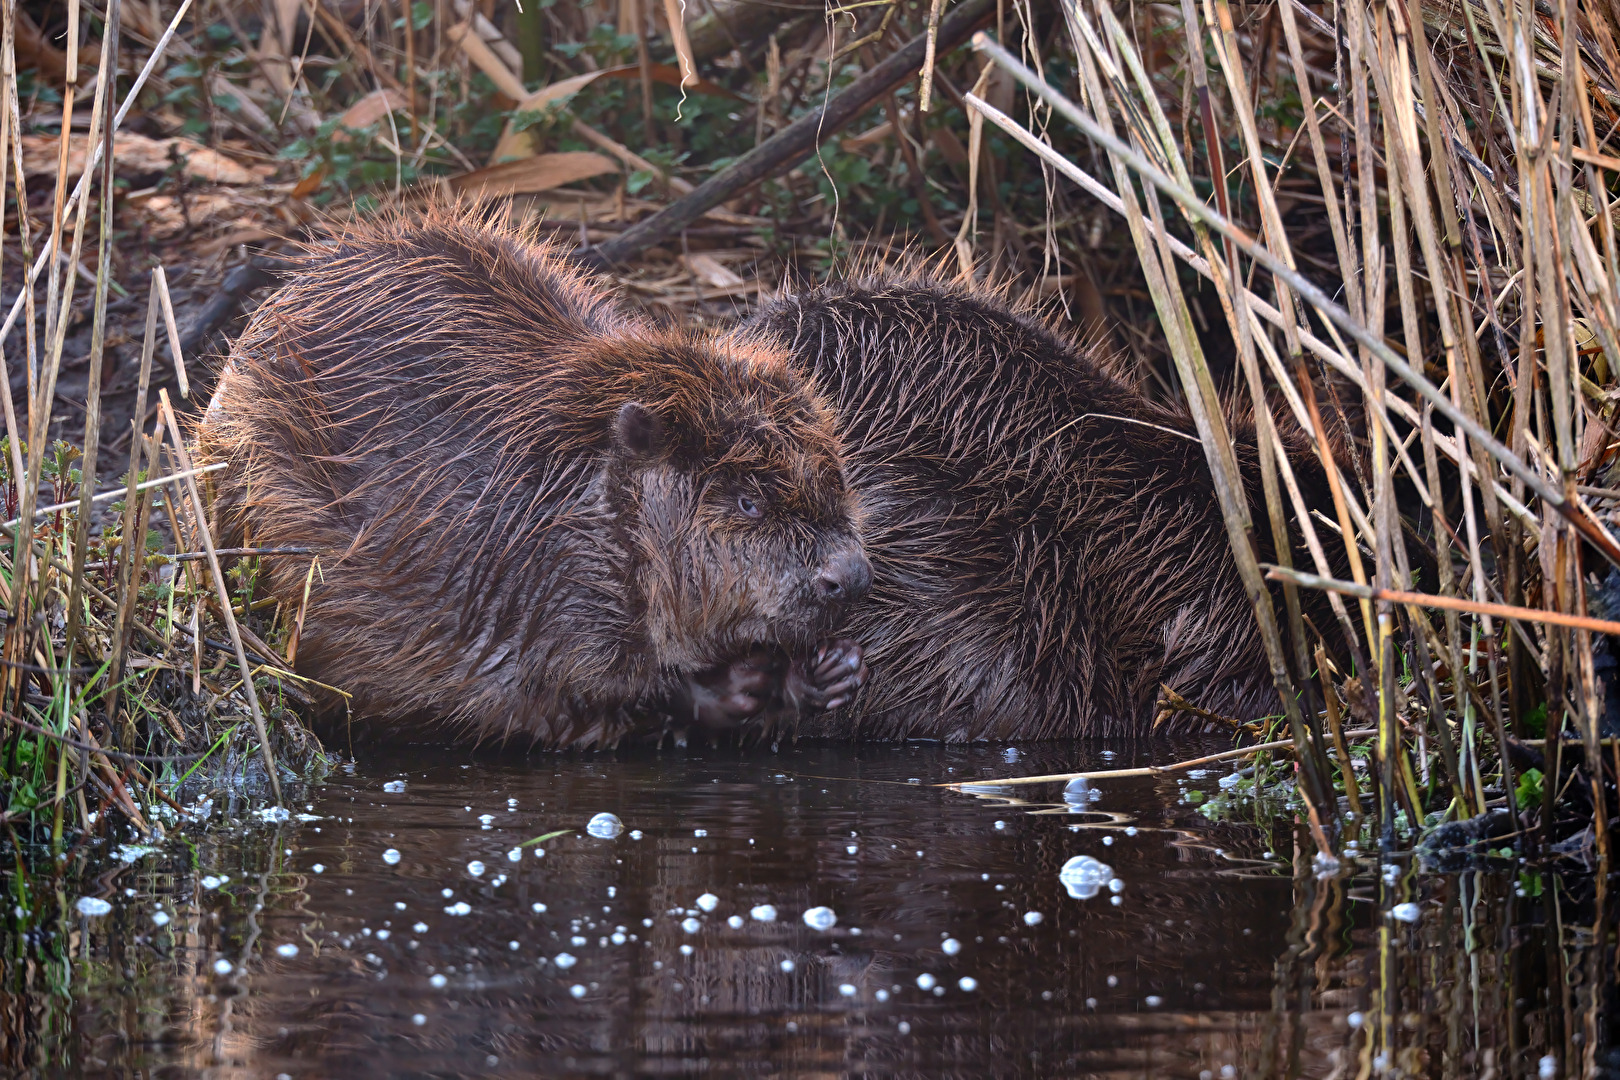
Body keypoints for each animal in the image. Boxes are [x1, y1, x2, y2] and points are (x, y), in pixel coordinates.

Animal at [199, 210, 874, 751]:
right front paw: (740, 683)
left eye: (839, 485)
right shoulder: (527, 587)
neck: (565, 483)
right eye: (748, 500)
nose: (851, 577)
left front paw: (828, 670)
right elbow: (559, 691)